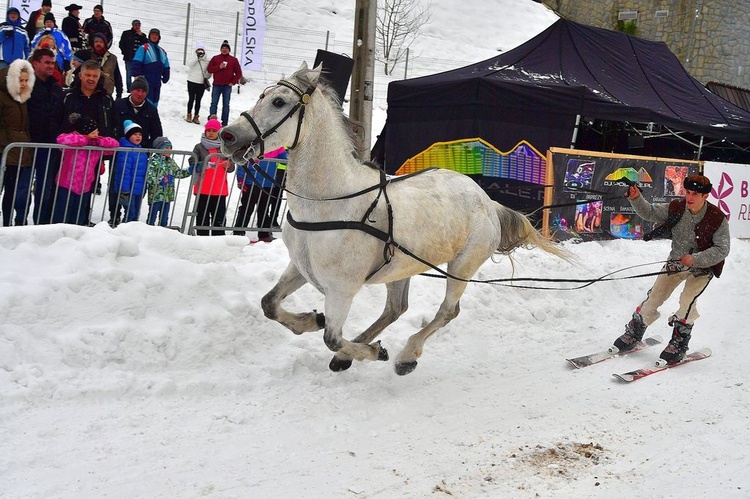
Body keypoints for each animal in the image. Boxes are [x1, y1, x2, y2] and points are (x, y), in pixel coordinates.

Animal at [220, 62, 572, 376]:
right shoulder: (300, 268)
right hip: (402, 267)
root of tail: (487, 201)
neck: (329, 202)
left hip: (461, 267)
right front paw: (311, 320)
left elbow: (332, 337)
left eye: (279, 102)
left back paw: (405, 356)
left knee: (447, 311)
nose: (227, 135)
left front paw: (371, 351)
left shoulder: (341, 289)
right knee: (395, 309)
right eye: (262, 95)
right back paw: (357, 353)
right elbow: (269, 304)